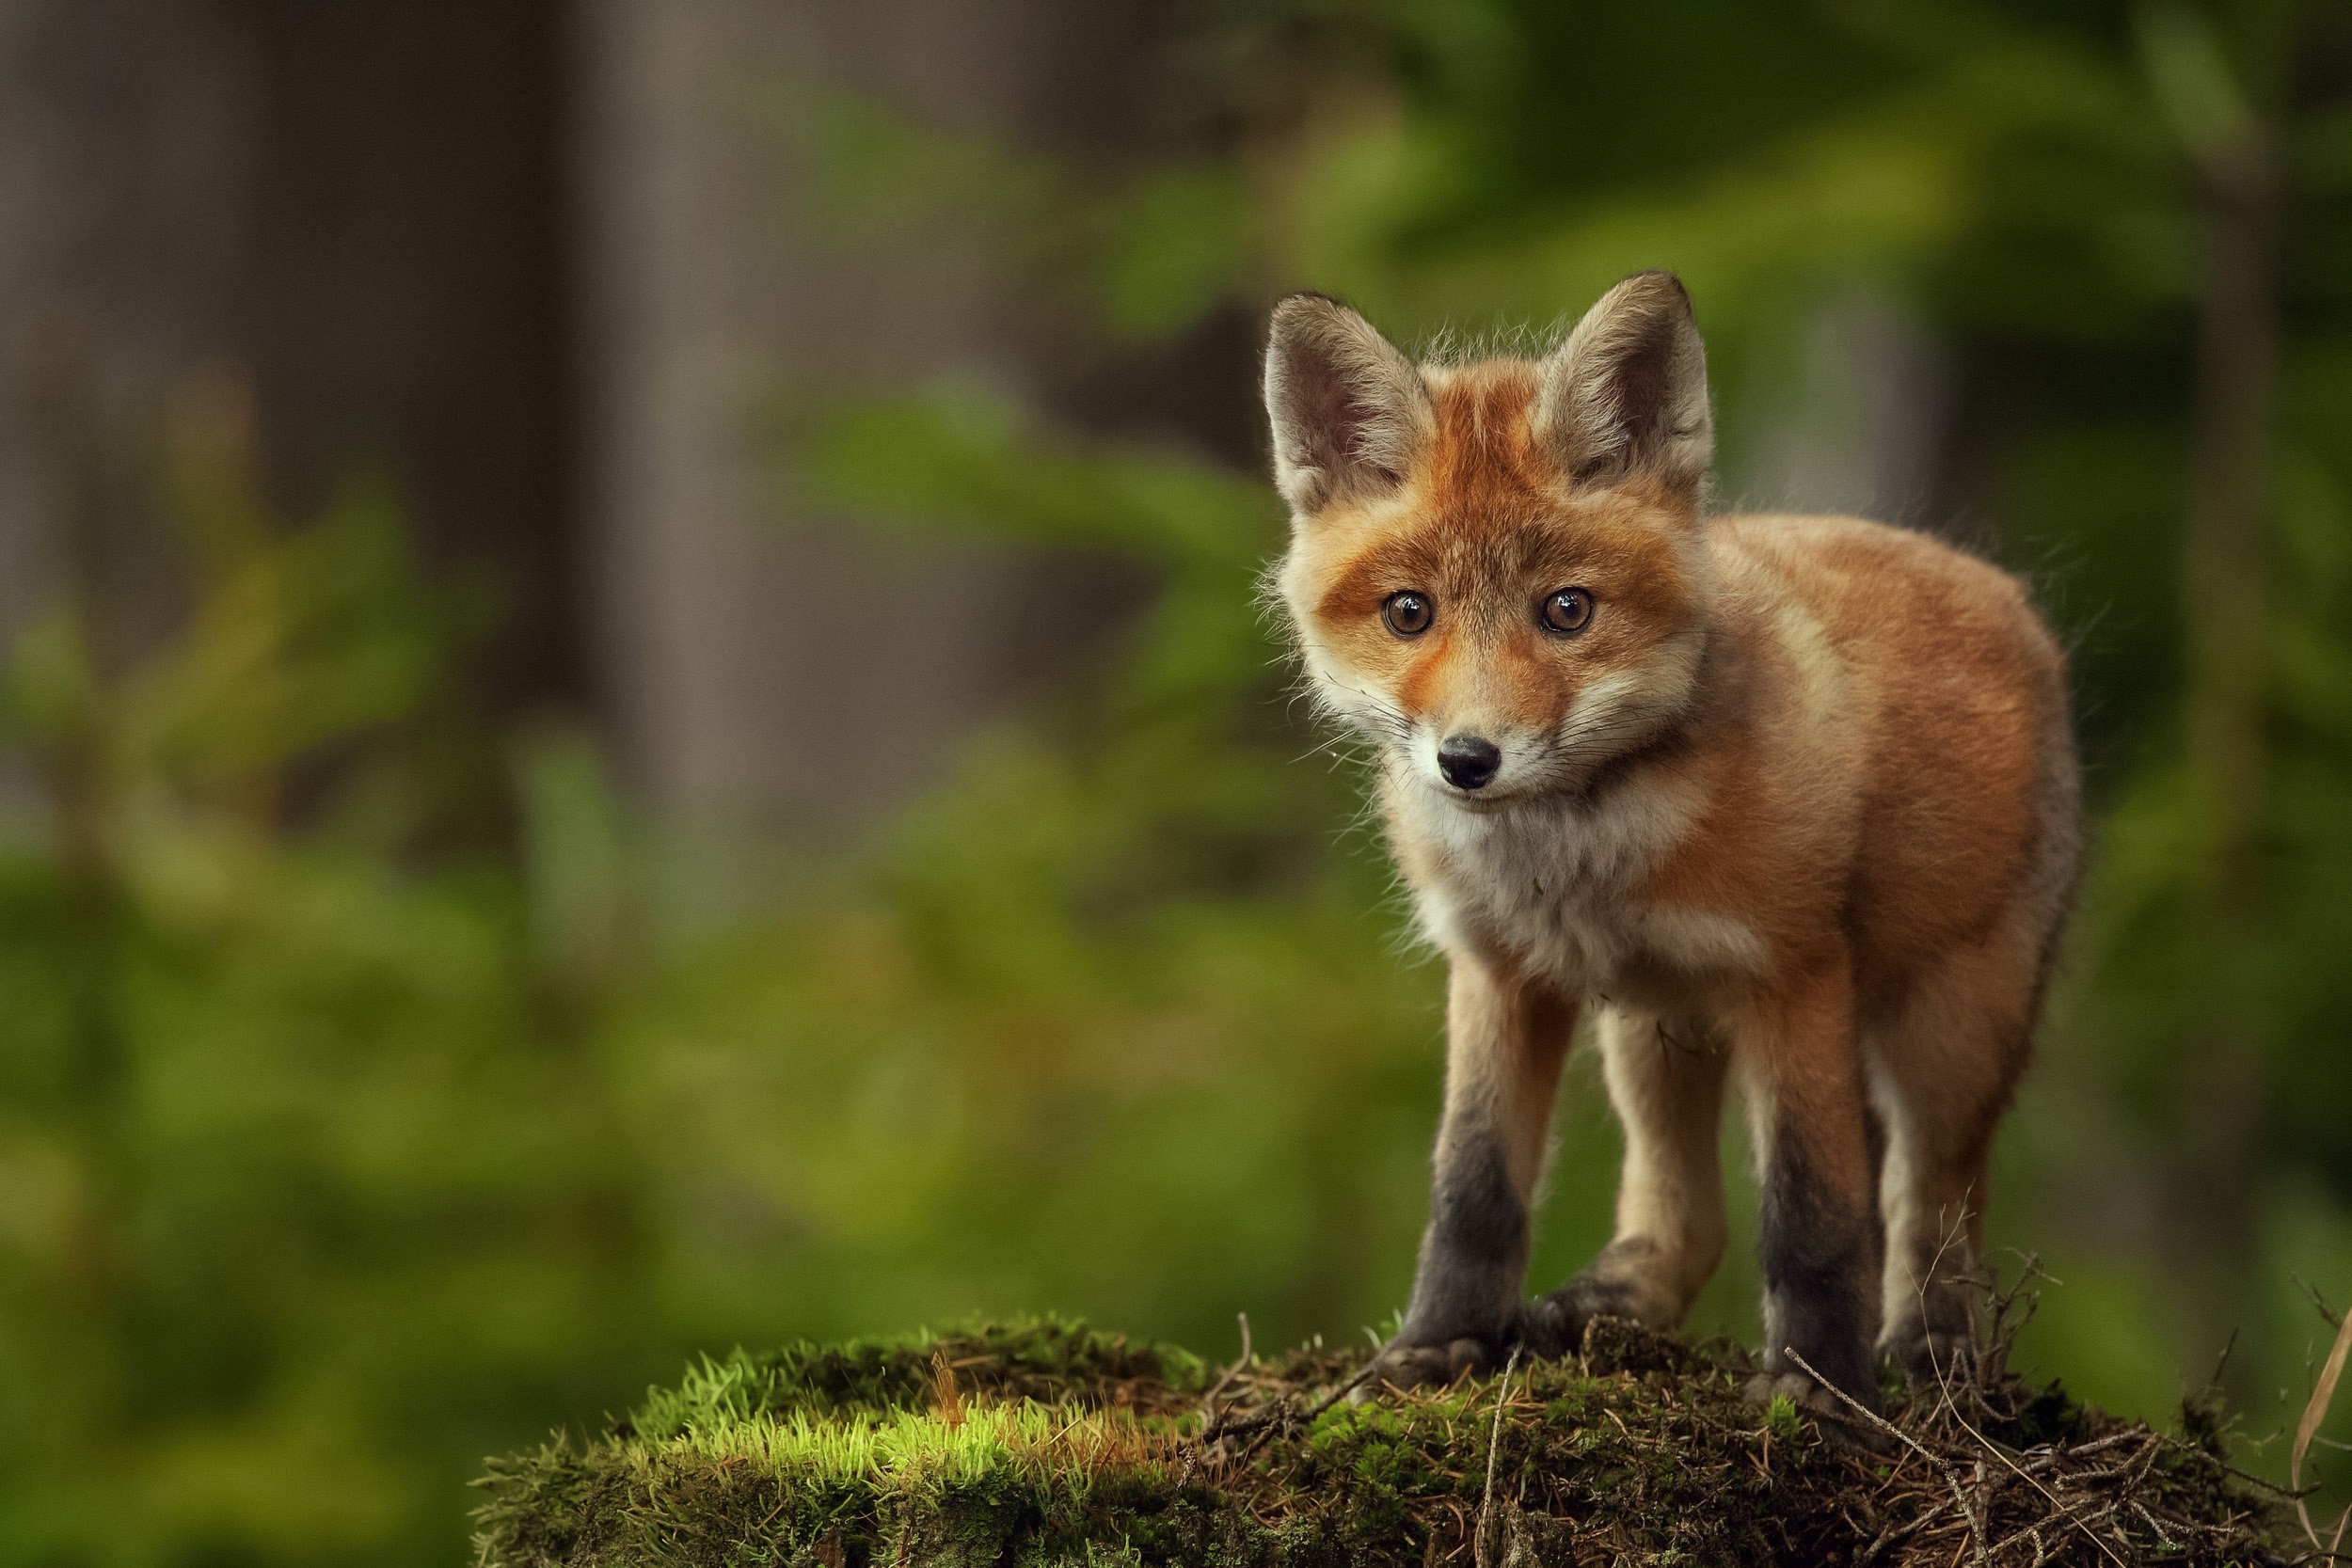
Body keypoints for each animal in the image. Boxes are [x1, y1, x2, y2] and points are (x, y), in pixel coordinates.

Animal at [1262, 271, 2080, 1410]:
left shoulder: (1793, 975)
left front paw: (1815, 1394)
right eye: (1408, 613)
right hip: (1654, 1026)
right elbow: (1472, 1190)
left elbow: (1813, 1218)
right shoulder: (1498, 970)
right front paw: (1436, 1344)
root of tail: (2010, 596)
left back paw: (1931, 1351)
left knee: (1930, 1204)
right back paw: (1606, 1304)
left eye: (1567, 610)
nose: (1468, 759)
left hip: (1951, 1029)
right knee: (1686, 1215)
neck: (1575, 861)